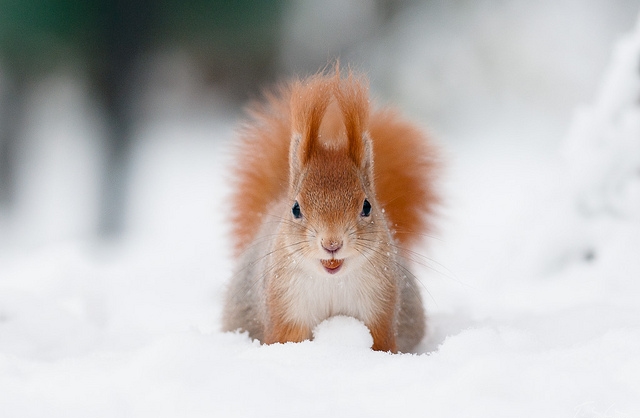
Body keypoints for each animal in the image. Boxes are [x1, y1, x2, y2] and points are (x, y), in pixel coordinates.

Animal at [222, 68, 438, 352]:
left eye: (367, 206)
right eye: (296, 209)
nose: (332, 244)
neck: (333, 279)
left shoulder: (380, 305)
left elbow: (380, 341)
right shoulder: (286, 307)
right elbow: (287, 338)